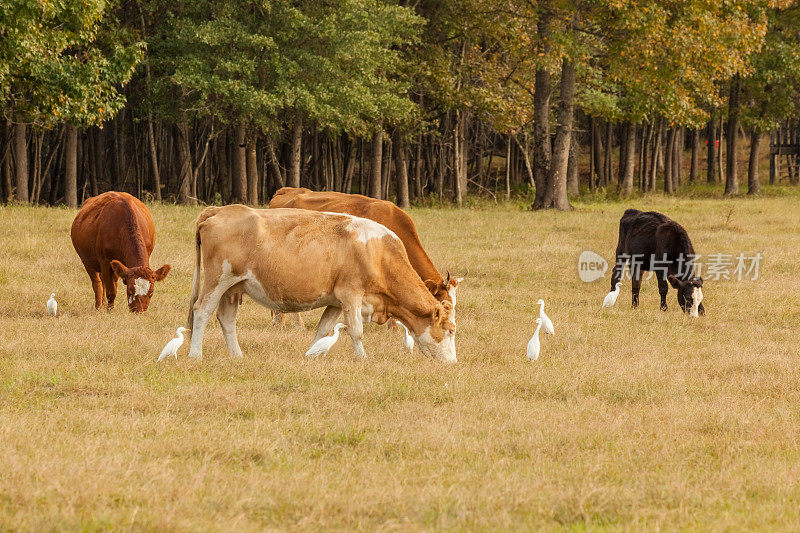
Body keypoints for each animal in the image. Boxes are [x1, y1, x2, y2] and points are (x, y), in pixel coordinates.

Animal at [183, 204, 456, 362]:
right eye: (451, 330)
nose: (453, 362)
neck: (378, 253)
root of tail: (221, 209)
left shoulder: (335, 301)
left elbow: (323, 330)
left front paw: (312, 355)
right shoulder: (351, 294)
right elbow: (356, 331)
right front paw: (363, 359)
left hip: (232, 287)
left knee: (227, 319)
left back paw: (237, 356)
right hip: (217, 279)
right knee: (201, 311)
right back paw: (195, 355)